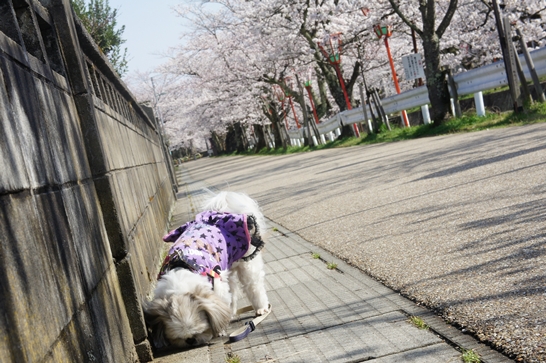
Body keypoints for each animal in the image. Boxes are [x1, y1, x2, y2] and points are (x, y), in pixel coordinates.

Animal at [144, 192, 270, 348]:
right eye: (177, 338)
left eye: (201, 331)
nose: (191, 340)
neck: (183, 268)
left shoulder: (216, 286)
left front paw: (220, 330)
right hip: (226, 269)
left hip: (246, 264)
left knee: (253, 286)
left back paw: (261, 308)